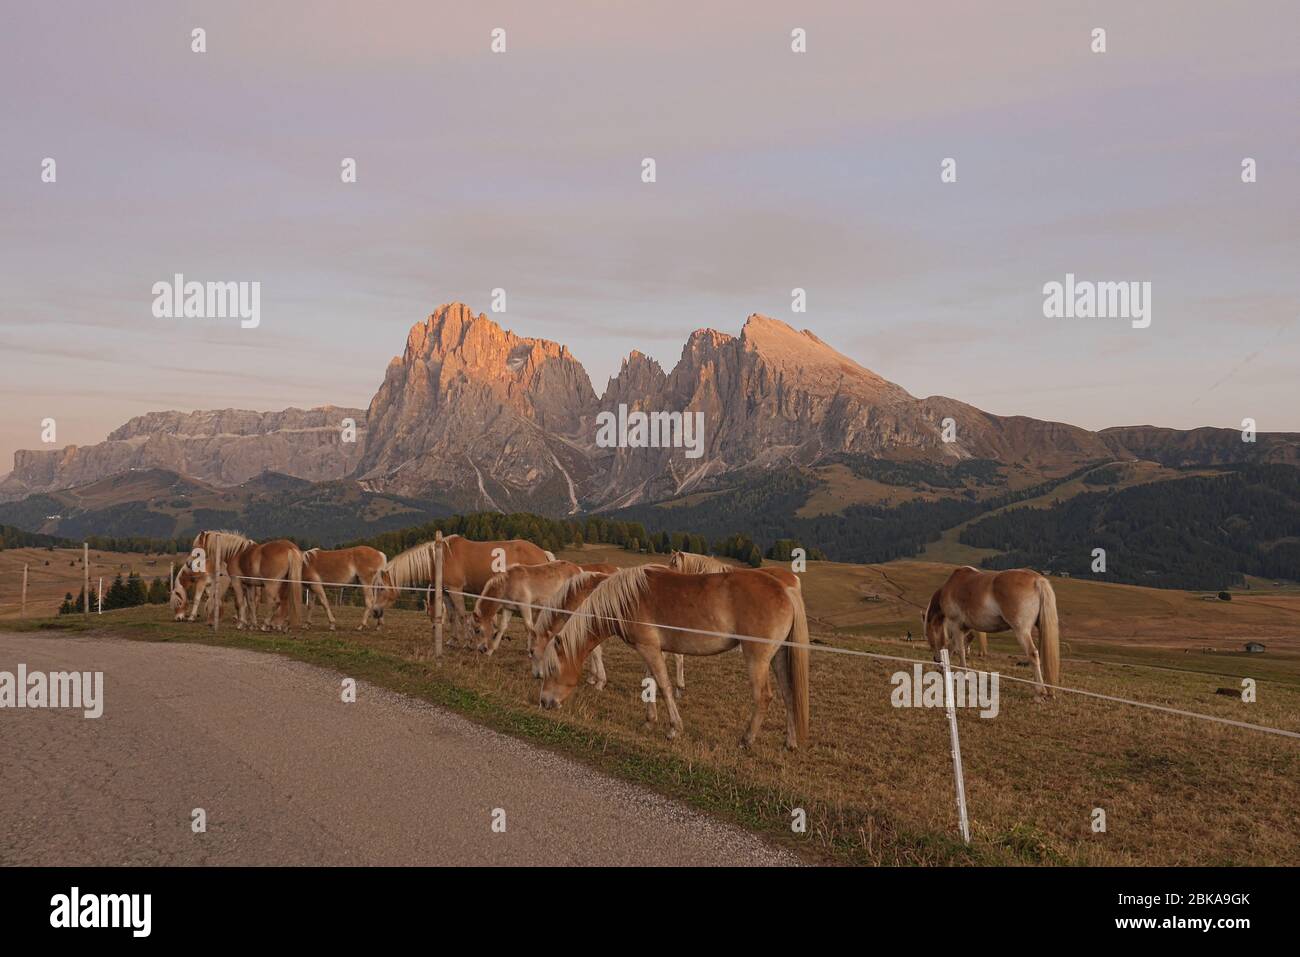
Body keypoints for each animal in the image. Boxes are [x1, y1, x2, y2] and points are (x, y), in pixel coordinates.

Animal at [374, 535, 555, 646]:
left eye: (381, 588)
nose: (375, 611)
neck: (441, 558)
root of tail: (542, 553)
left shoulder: (456, 590)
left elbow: (462, 615)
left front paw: (468, 641)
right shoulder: (446, 592)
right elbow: (452, 616)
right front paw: (453, 640)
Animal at [541, 565, 810, 750]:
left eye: (552, 669)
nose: (544, 702)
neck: (626, 599)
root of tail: (784, 588)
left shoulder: (649, 649)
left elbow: (664, 685)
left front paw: (673, 729)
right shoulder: (649, 649)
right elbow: (649, 683)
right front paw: (649, 721)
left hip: (757, 658)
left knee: (763, 697)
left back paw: (746, 740)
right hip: (778, 657)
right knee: (788, 694)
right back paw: (790, 742)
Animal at [923, 566, 1060, 696]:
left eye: (928, 638)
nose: (936, 660)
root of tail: (1037, 579)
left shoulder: (956, 625)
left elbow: (960, 650)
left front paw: (963, 674)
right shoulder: (964, 628)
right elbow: (952, 647)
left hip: (1022, 631)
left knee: (1033, 653)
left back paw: (1040, 691)